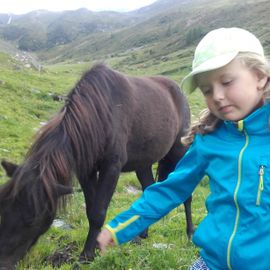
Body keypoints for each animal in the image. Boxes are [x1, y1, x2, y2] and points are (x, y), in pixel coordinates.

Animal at [0, 63, 192, 268]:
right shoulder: (87, 172)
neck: (99, 114)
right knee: (149, 189)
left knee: (187, 195)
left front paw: (85, 256)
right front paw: (94, 250)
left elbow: (98, 213)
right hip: (143, 164)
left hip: (179, 151)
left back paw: (190, 234)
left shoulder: (111, 168)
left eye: (31, 219)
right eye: (3, 207)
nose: (3, 263)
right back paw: (142, 235)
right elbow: (90, 209)